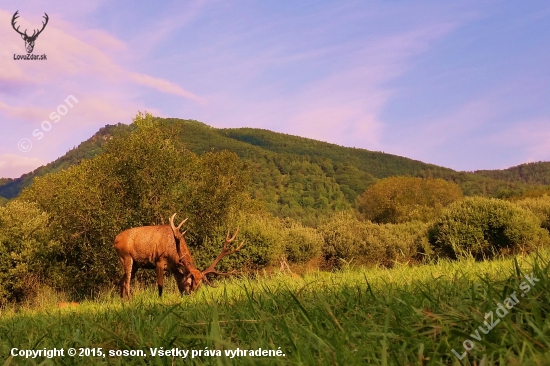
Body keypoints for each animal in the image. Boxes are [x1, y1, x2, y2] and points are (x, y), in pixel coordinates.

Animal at [113, 213, 244, 298]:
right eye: (190, 283)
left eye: (200, 286)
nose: (190, 296)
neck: (173, 254)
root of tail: (115, 239)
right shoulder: (159, 261)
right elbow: (160, 286)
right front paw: (160, 300)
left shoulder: (174, 268)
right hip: (126, 257)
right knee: (127, 282)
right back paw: (130, 300)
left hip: (135, 264)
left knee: (122, 281)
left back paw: (123, 301)